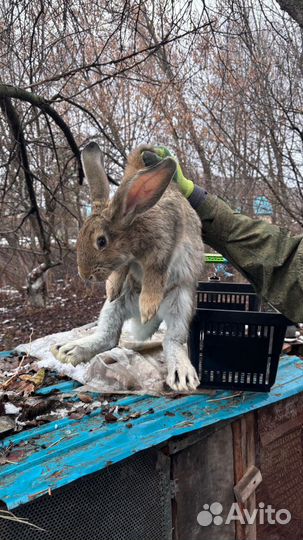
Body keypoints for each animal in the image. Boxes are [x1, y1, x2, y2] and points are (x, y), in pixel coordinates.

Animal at [51, 141, 204, 390]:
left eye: (101, 241)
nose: (84, 275)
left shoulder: (163, 251)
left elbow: (155, 275)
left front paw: (148, 306)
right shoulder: (125, 264)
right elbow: (120, 272)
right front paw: (112, 288)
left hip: (181, 302)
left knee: (172, 340)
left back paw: (182, 375)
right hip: (115, 307)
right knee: (109, 337)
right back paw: (69, 350)